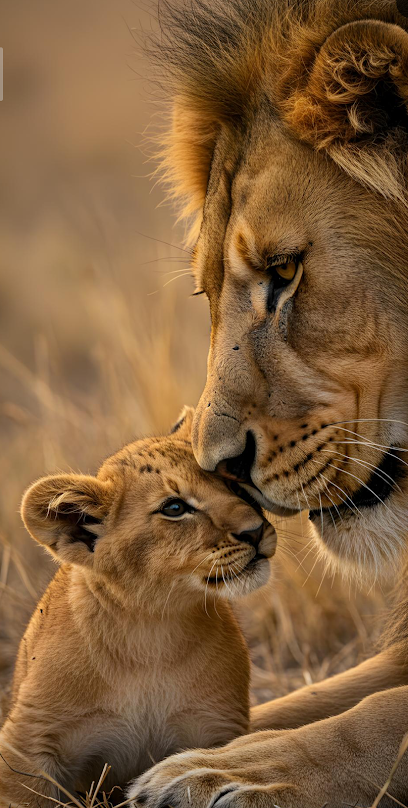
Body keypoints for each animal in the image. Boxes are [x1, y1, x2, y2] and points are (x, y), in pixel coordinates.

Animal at [0, 407, 276, 807]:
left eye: (235, 487)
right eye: (175, 508)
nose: (255, 531)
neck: (150, 630)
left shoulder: (219, 725)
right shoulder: (27, 742)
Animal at [127, 1, 408, 807]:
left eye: (285, 271)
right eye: (207, 291)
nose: (220, 466)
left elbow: (382, 719)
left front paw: (231, 772)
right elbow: (290, 704)